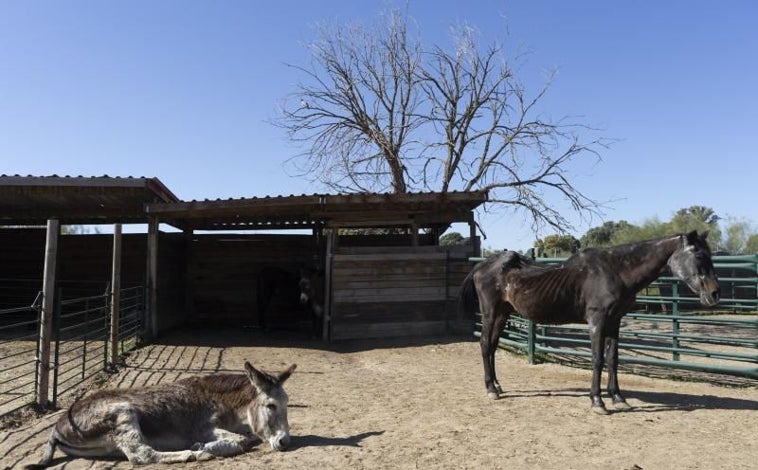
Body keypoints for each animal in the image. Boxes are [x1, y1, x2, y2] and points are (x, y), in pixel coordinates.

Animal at [460, 233, 720, 414]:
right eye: (699, 255)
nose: (715, 294)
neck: (616, 271)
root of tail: (482, 265)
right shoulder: (597, 321)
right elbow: (597, 359)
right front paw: (597, 402)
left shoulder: (614, 322)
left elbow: (613, 359)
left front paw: (619, 399)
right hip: (490, 313)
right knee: (485, 345)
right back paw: (491, 389)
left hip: (503, 314)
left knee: (493, 347)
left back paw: (497, 385)